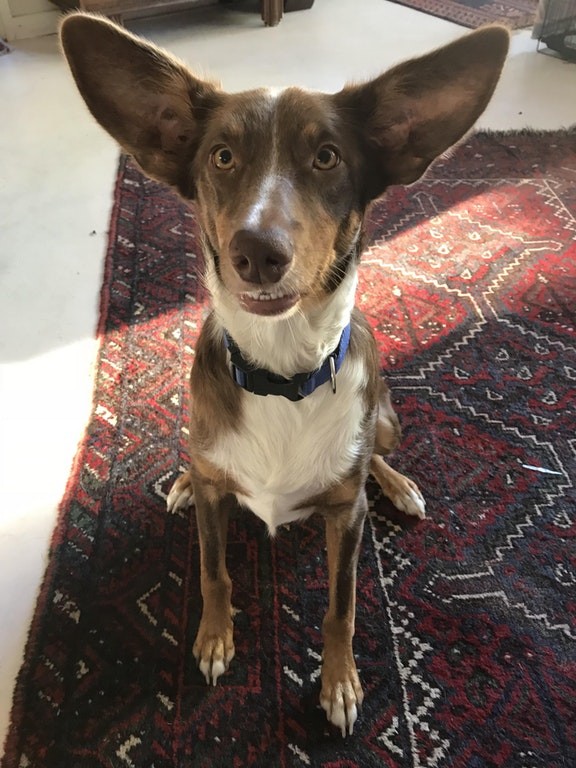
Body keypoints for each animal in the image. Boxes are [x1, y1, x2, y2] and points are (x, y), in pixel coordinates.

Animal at [58, 16, 508, 736]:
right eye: (221, 157)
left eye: (327, 157)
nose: (257, 251)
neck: (280, 369)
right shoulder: (218, 500)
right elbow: (213, 573)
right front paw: (215, 638)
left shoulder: (345, 520)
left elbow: (341, 607)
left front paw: (340, 683)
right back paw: (183, 481)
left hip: (385, 418)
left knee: (376, 458)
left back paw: (398, 484)